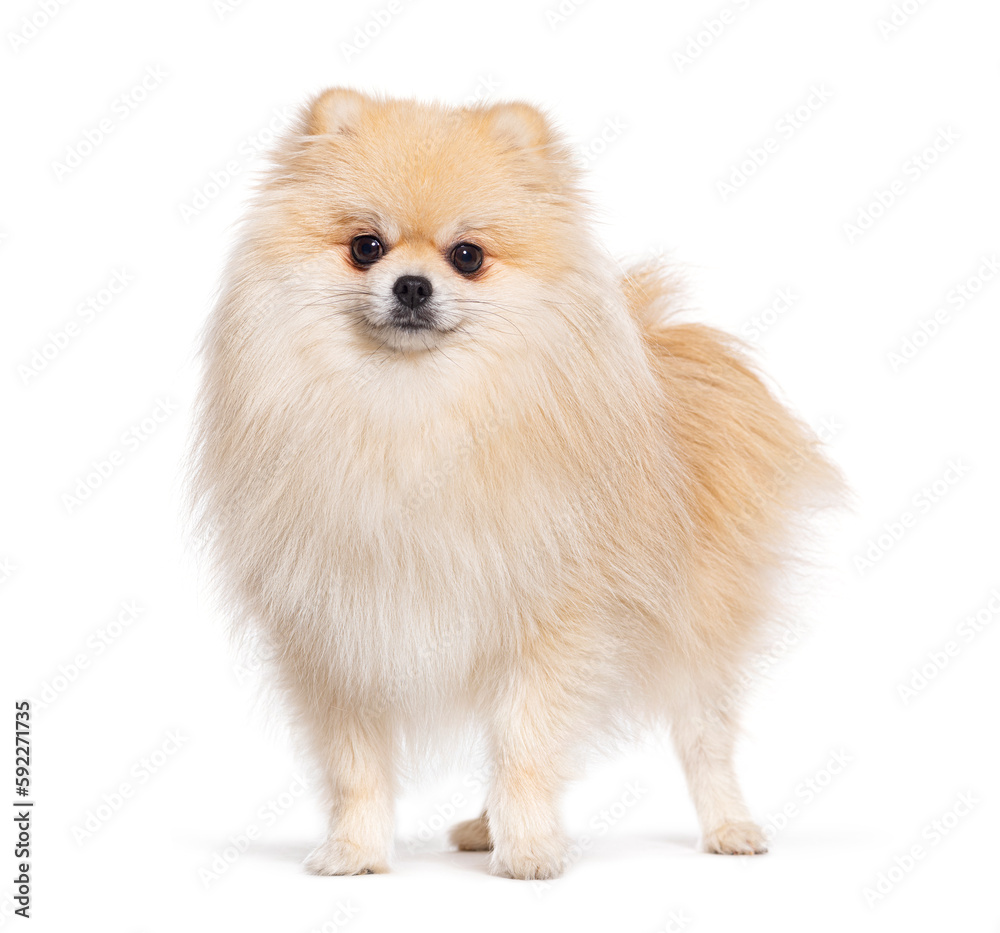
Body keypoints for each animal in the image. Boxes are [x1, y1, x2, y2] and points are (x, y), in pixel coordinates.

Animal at [191, 89, 840, 880]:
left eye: (467, 256)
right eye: (366, 246)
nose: (412, 285)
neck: (411, 410)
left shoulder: (550, 625)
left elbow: (526, 745)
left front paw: (529, 848)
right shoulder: (343, 634)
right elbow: (357, 766)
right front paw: (356, 850)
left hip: (699, 624)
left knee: (704, 736)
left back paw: (729, 828)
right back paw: (479, 826)